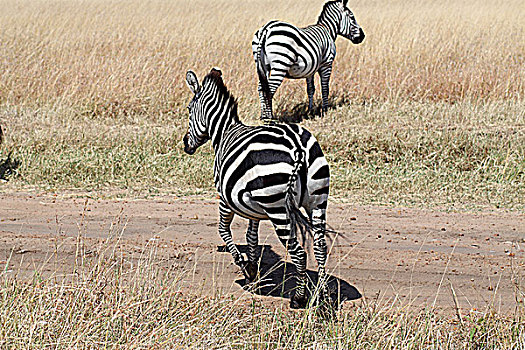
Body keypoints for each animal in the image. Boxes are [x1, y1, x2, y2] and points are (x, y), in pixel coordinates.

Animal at [182, 68, 330, 308]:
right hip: (317, 201)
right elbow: (252, 235)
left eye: (188, 109)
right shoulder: (252, 206)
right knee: (320, 247)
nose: (186, 144)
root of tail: (297, 145)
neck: (224, 132)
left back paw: (299, 298)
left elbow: (223, 230)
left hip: (277, 208)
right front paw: (252, 267)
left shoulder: (225, 197)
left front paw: (243, 265)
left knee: (299, 253)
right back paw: (323, 294)